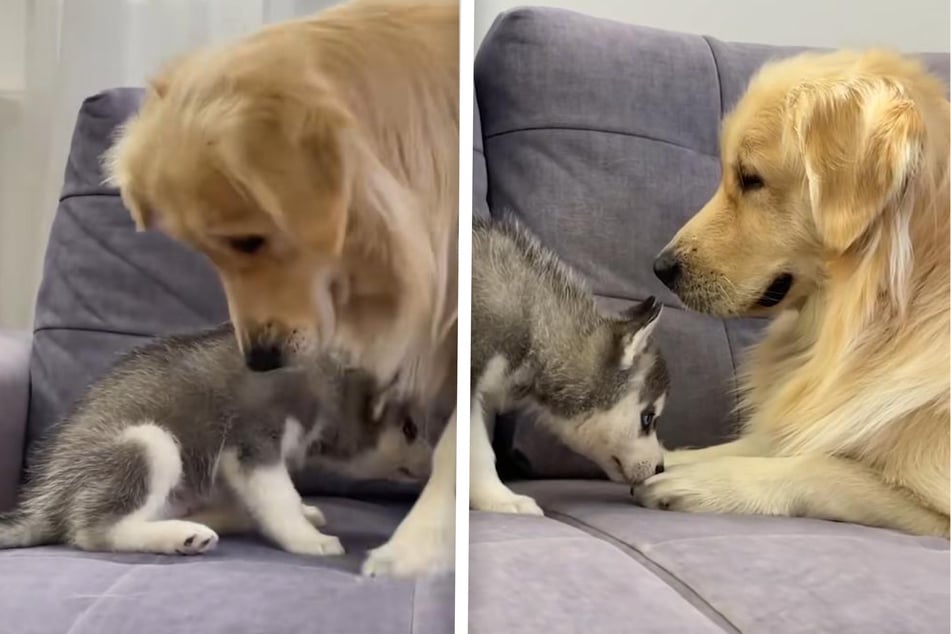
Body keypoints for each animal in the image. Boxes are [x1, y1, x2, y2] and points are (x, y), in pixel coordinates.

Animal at [0, 326, 432, 552]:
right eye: (410, 429)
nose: (433, 466)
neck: (326, 381)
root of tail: (48, 499)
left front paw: (304, 512)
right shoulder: (254, 446)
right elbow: (279, 500)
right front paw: (308, 538)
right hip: (149, 443)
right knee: (94, 532)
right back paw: (181, 536)